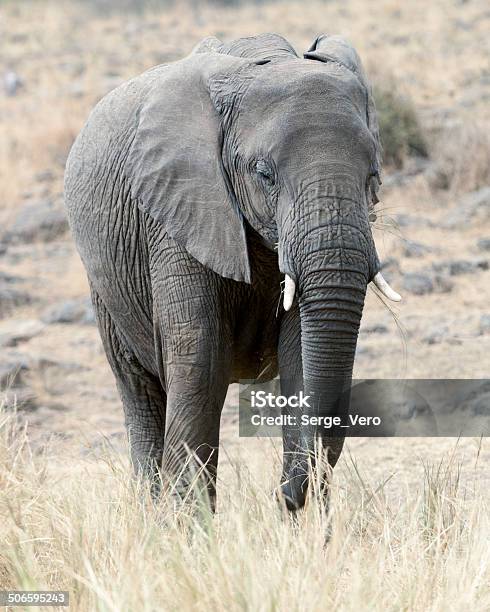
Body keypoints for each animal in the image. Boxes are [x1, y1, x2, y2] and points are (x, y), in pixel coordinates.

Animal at [64, 32, 402, 512]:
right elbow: (200, 361)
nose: (286, 497)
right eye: (265, 174)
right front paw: (188, 528)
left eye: (374, 174)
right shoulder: (176, 213)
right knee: (139, 387)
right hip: (105, 286)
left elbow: (301, 356)